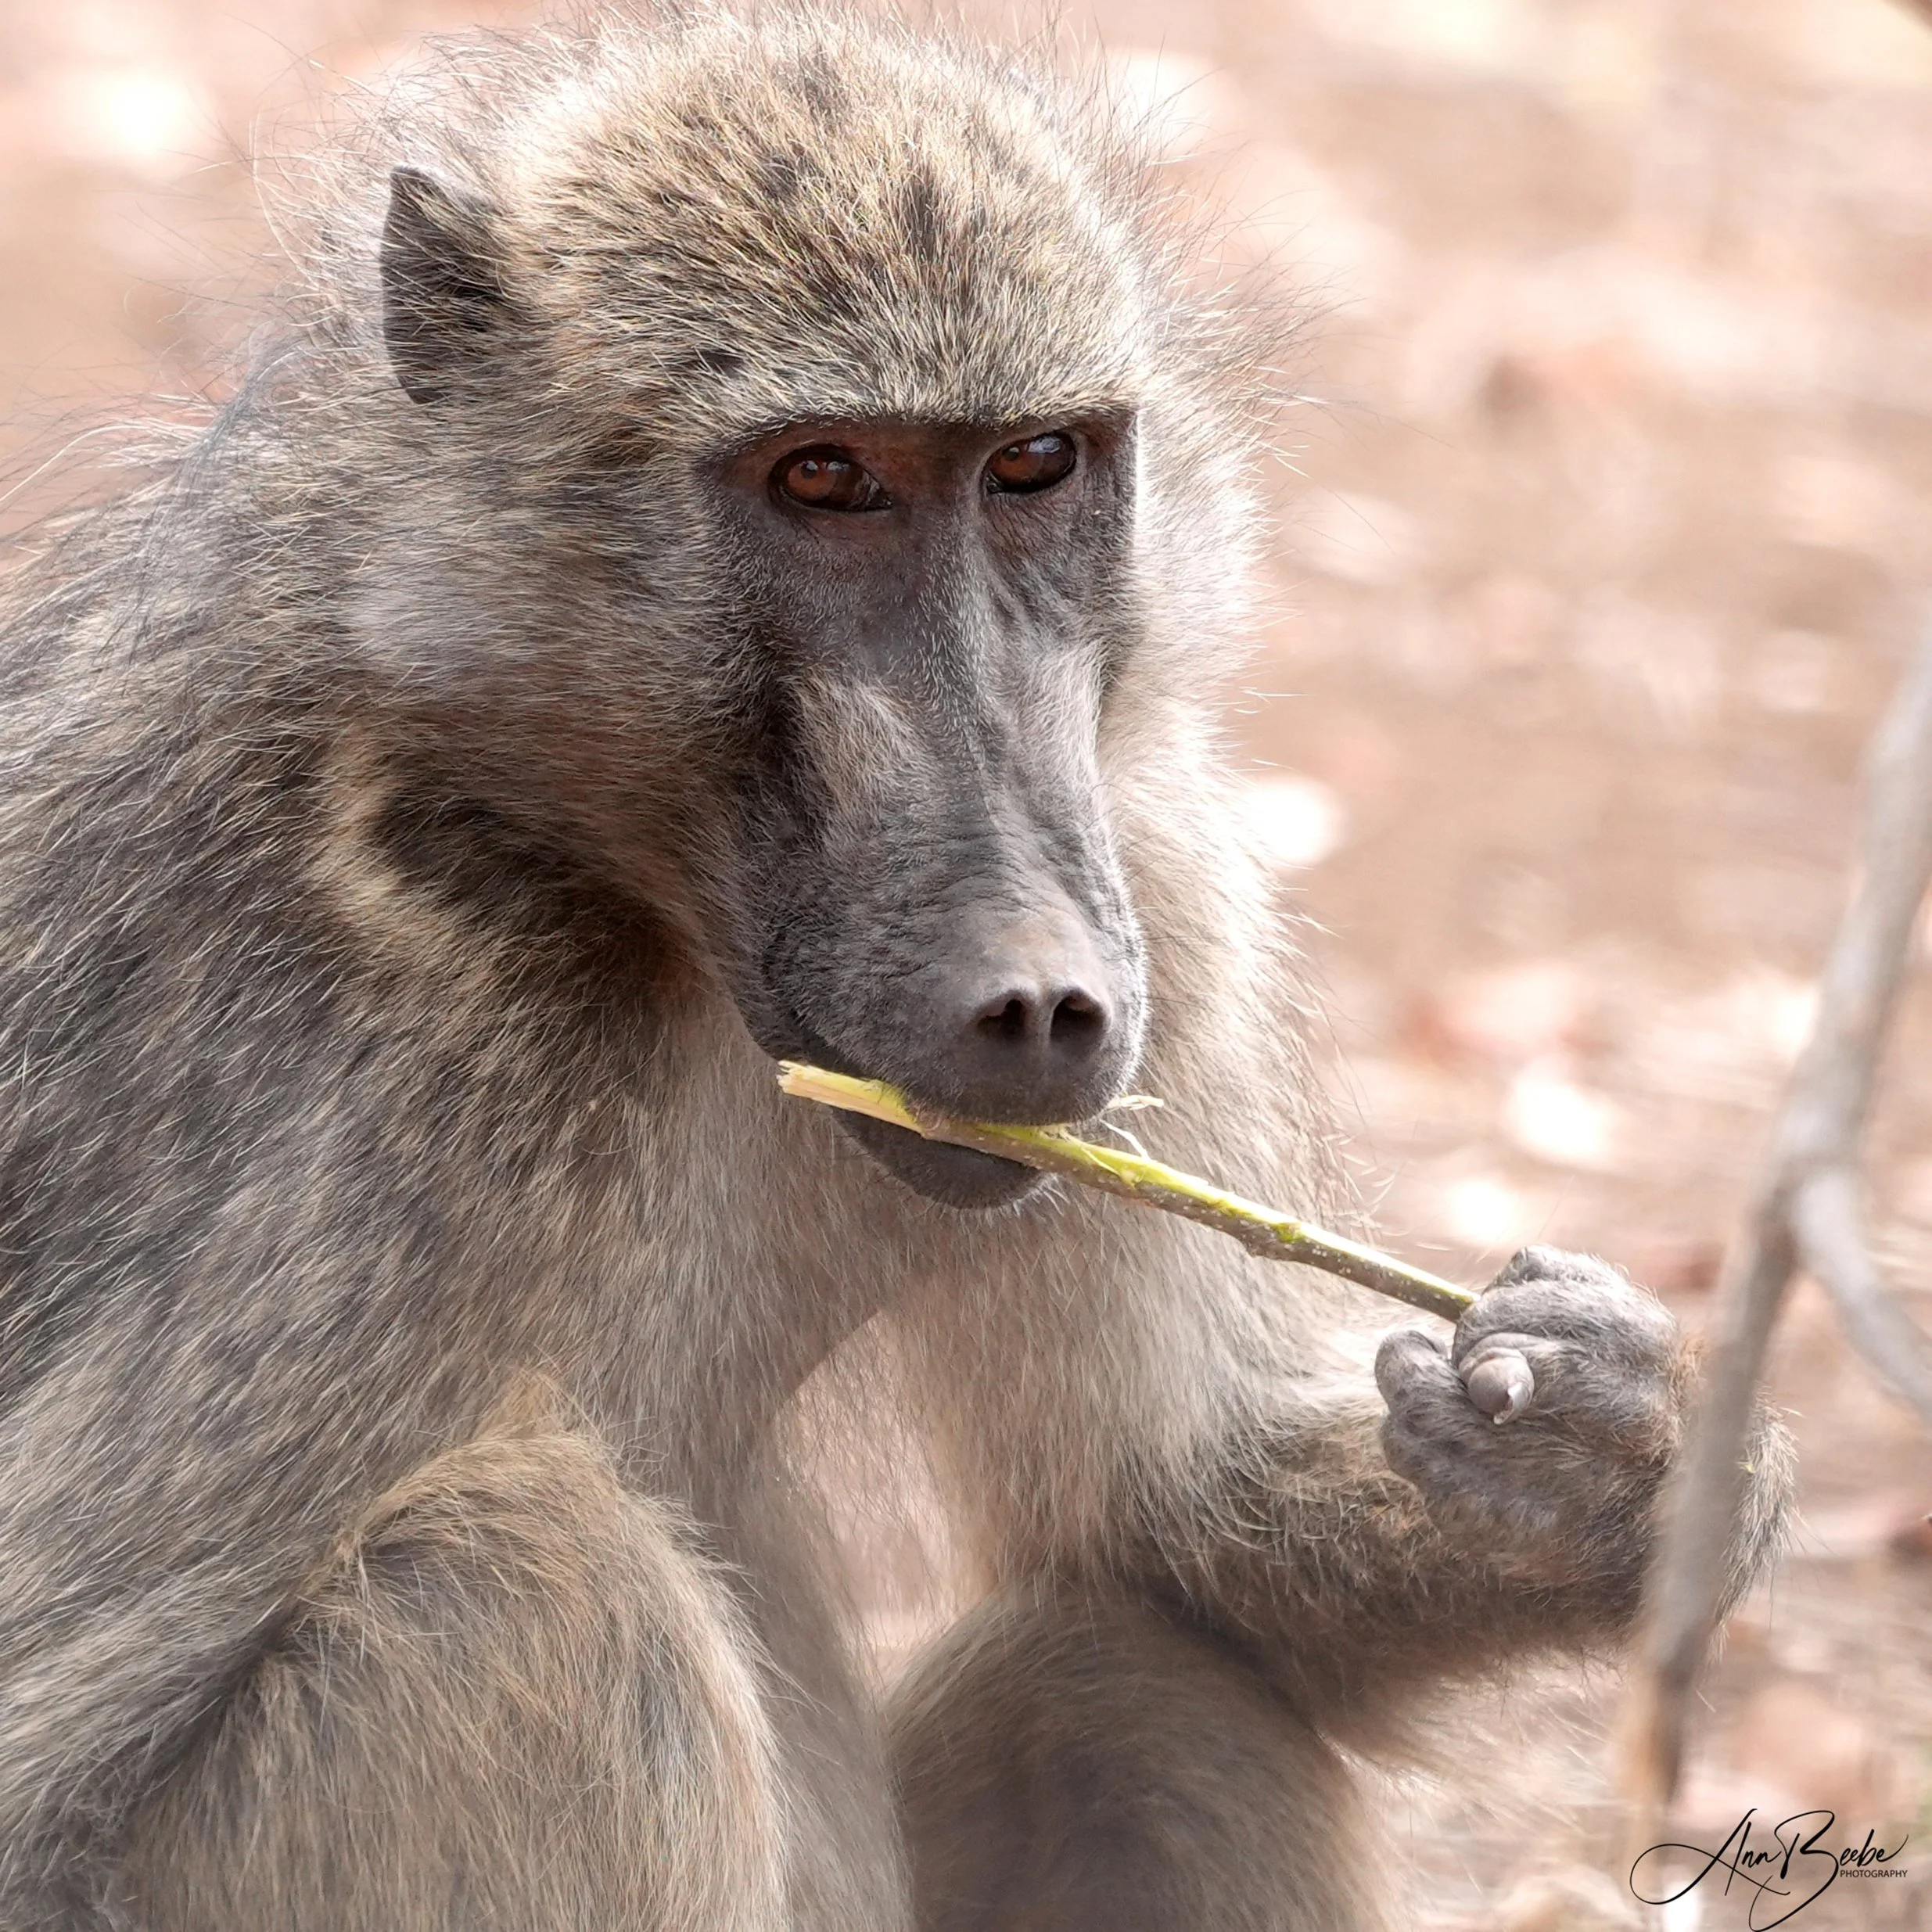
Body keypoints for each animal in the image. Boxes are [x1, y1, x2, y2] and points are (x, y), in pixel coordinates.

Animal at [0, 10, 1789, 1931]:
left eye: (1034, 467)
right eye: (822, 479)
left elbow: (1160, 1525)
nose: (1043, 1000)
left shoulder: (1151, 859)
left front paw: (1619, 1467)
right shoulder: (401, 1064)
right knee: (529, 1593)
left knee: (1127, 1684)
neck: (566, 841)